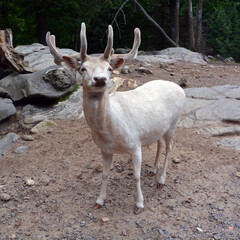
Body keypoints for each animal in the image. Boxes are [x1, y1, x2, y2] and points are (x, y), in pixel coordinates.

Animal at [46, 22, 186, 214]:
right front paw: (99, 200)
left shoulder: (135, 144)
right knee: (159, 143)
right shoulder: (104, 149)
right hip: (159, 127)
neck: (109, 131)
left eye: (109, 69)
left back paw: (161, 180)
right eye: (83, 68)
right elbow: (105, 174)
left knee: (170, 147)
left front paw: (139, 204)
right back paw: (153, 169)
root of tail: (181, 89)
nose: (100, 79)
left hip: (174, 123)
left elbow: (136, 176)